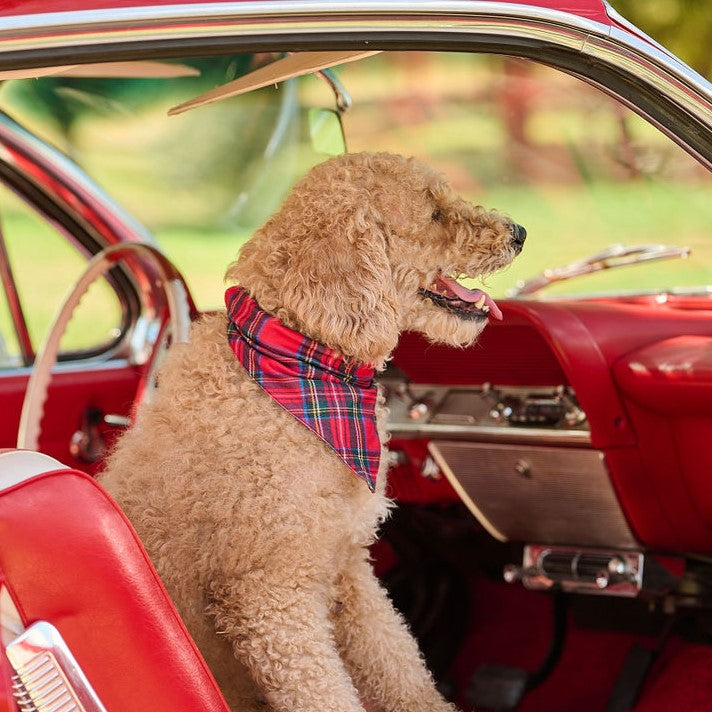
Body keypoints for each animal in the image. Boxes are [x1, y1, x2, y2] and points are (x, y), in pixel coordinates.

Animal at [100, 152, 524, 712]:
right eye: (433, 211)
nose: (520, 231)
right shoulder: (271, 598)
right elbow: (324, 692)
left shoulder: (348, 568)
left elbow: (399, 665)